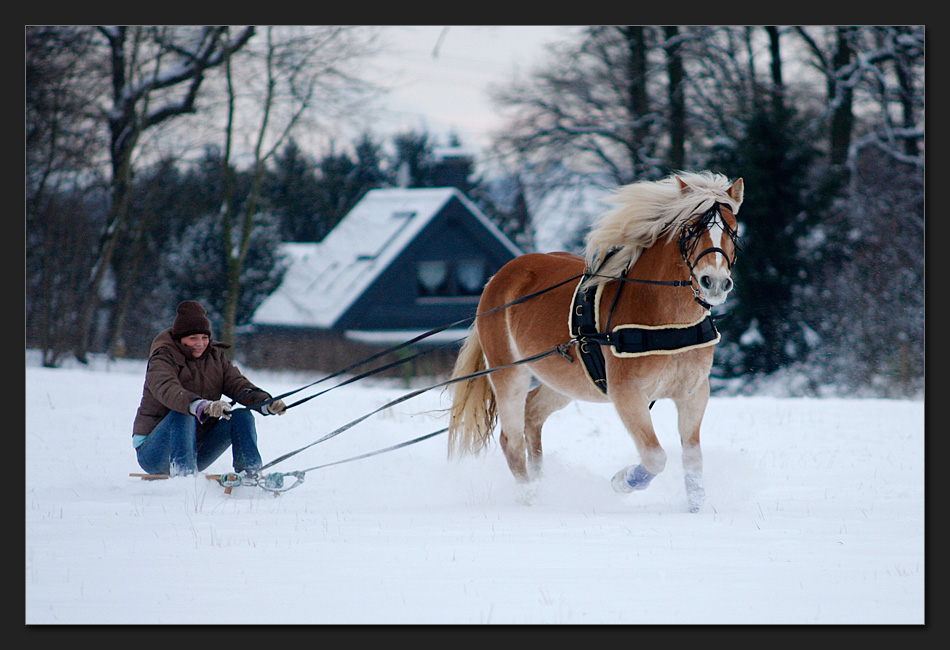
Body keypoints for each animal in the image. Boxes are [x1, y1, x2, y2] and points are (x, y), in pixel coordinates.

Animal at [446, 168, 744, 512]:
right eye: (691, 228)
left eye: (733, 230)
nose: (715, 283)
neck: (665, 318)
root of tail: (498, 278)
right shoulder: (627, 393)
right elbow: (655, 457)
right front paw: (622, 482)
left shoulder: (693, 394)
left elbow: (693, 459)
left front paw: (697, 509)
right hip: (509, 374)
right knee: (512, 440)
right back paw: (530, 498)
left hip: (564, 381)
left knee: (532, 416)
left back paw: (541, 485)